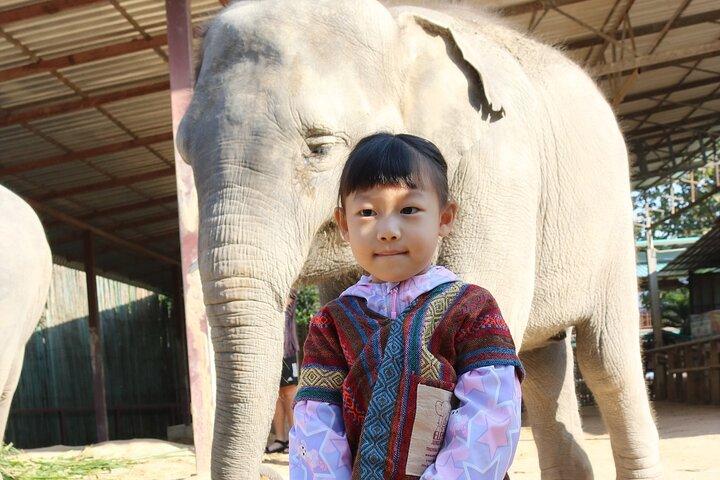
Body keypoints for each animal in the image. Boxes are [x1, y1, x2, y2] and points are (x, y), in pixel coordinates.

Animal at [177, 1, 662, 478]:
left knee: (607, 365)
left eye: (321, 147)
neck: (396, 23)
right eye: (184, 153)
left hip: (613, 229)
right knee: (545, 365)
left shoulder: (500, 172)